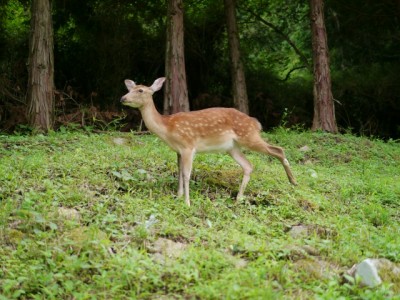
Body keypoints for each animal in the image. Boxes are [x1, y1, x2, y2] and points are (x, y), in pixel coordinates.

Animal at [119, 78, 296, 206]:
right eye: (129, 89)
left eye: (140, 90)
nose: (122, 98)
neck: (167, 128)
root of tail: (256, 123)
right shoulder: (178, 151)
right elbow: (179, 172)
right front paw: (178, 195)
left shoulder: (188, 146)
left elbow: (186, 174)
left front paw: (187, 202)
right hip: (232, 147)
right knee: (248, 165)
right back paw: (238, 198)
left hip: (249, 136)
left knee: (278, 150)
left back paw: (293, 181)